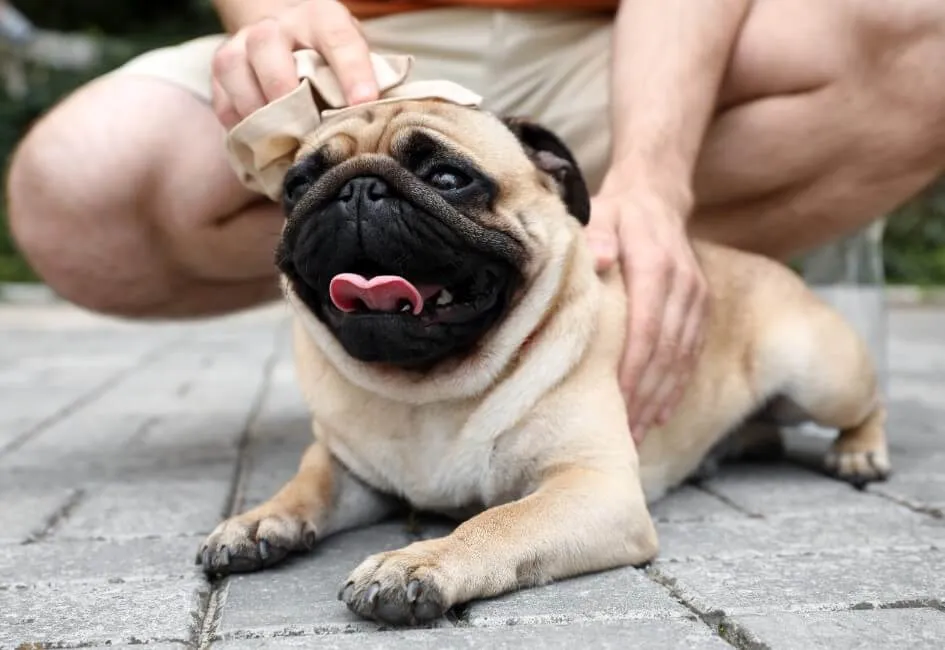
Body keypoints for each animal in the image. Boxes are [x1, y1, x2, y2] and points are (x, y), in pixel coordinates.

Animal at [195, 100, 888, 624]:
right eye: (296, 187)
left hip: (816, 374)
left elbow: (501, 520)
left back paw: (859, 453)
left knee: (866, 402)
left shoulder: (592, 487)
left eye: (448, 179)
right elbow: (305, 484)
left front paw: (419, 561)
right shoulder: (348, 468)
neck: (429, 388)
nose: (356, 189)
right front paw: (257, 523)